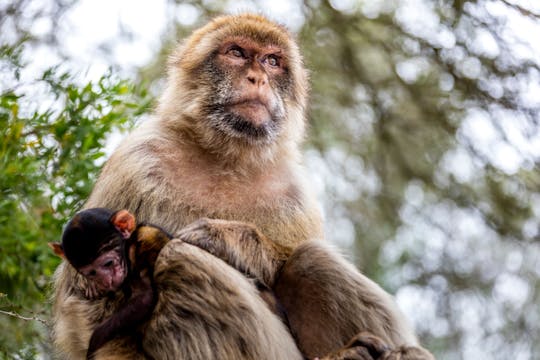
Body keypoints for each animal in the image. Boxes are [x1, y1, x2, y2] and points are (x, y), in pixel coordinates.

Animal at [50, 207, 171, 358]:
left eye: (108, 263)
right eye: (91, 273)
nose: (107, 281)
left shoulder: (140, 246)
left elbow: (144, 298)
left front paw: (94, 342)